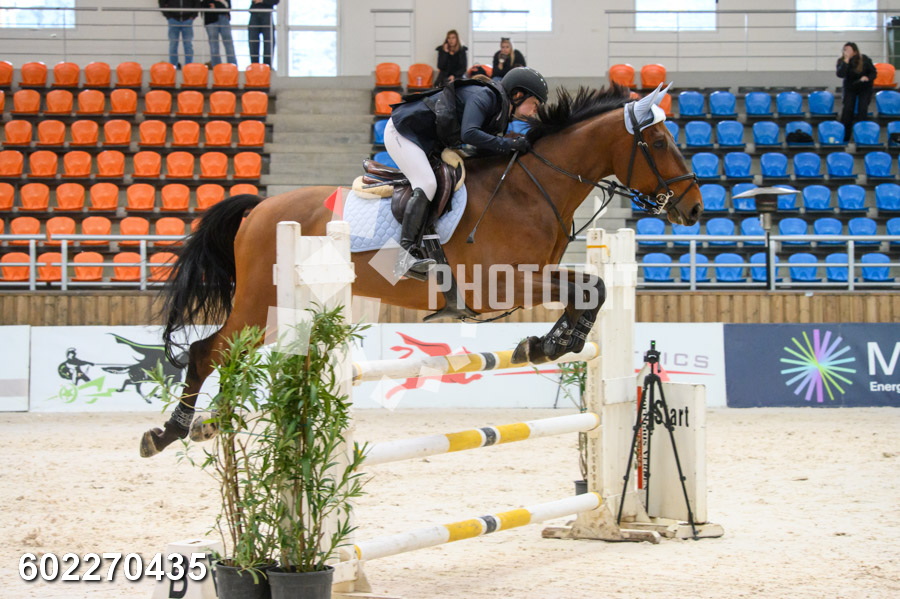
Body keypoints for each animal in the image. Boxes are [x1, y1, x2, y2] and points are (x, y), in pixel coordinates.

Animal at [139, 83, 702, 457]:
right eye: (658, 144)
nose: (694, 209)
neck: (532, 188)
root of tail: (259, 208)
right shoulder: (501, 283)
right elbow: (592, 285)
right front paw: (550, 344)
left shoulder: (531, 277)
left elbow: (591, 288)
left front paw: (546, 344)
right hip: (263, 302)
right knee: (206, 351)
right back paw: (168, 432)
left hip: (281, 312)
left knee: (229, 354)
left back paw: (212, 423)